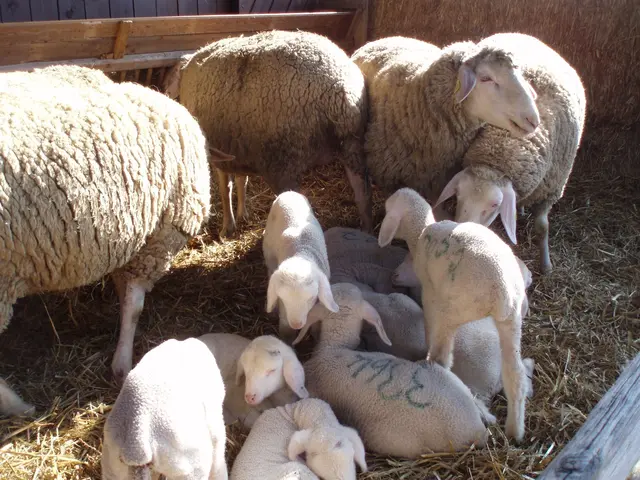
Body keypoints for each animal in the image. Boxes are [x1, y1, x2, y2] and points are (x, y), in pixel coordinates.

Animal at [171, 29, 372, 236]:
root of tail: (340, 91)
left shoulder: (218, 151)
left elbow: (225, 189)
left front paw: (227, 226)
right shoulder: (238, 145)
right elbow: (242, 180)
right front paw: (242, 214)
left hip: (283, 159)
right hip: (352, 143)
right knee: (363, 193)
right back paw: (367, 229)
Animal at [263, 191, 339, 342]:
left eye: (311, 298)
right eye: (282, 298)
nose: (296, 325)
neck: (301, 252)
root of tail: (289, 192)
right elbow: (285, 330)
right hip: (268, 250)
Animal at [377, 187, 530, 442]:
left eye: (388, 209)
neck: (421, 231)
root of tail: (502, 290)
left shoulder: (430, 294)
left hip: (454, 310)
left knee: (442, 357)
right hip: (513, 319)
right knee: (515, 374)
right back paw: (515, 431)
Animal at [435, 33, 587, 274]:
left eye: (494, 205)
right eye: (457, 195)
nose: (461, 231)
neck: (502, 148)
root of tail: (529, 36)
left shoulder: (551, 189)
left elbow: (542, 227)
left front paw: (546, 265)